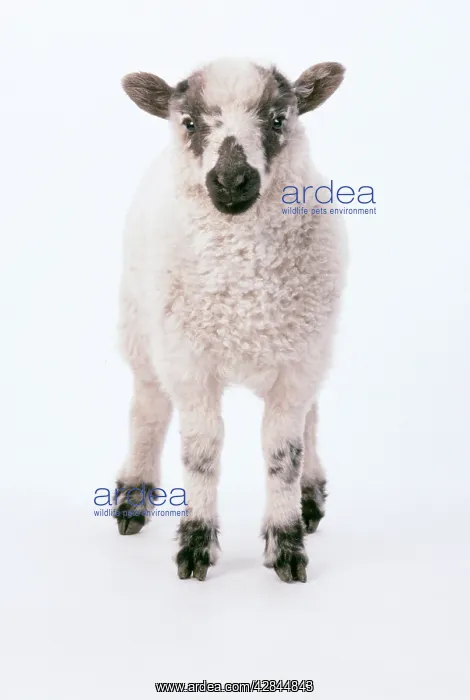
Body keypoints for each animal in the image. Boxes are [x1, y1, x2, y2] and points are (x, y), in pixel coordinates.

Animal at [115, 58, 347, 583]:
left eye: (279, 119)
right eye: (189, 122)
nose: (232, 180)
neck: (245, 298)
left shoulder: (298, 363)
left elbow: (283, 451)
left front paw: (287, 544)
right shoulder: (189, 364)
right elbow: (202, 450)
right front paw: (196, 545)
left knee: (312, 416)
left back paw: (310, 497)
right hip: (140, 328)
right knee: (147, 407)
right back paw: (133, 497)